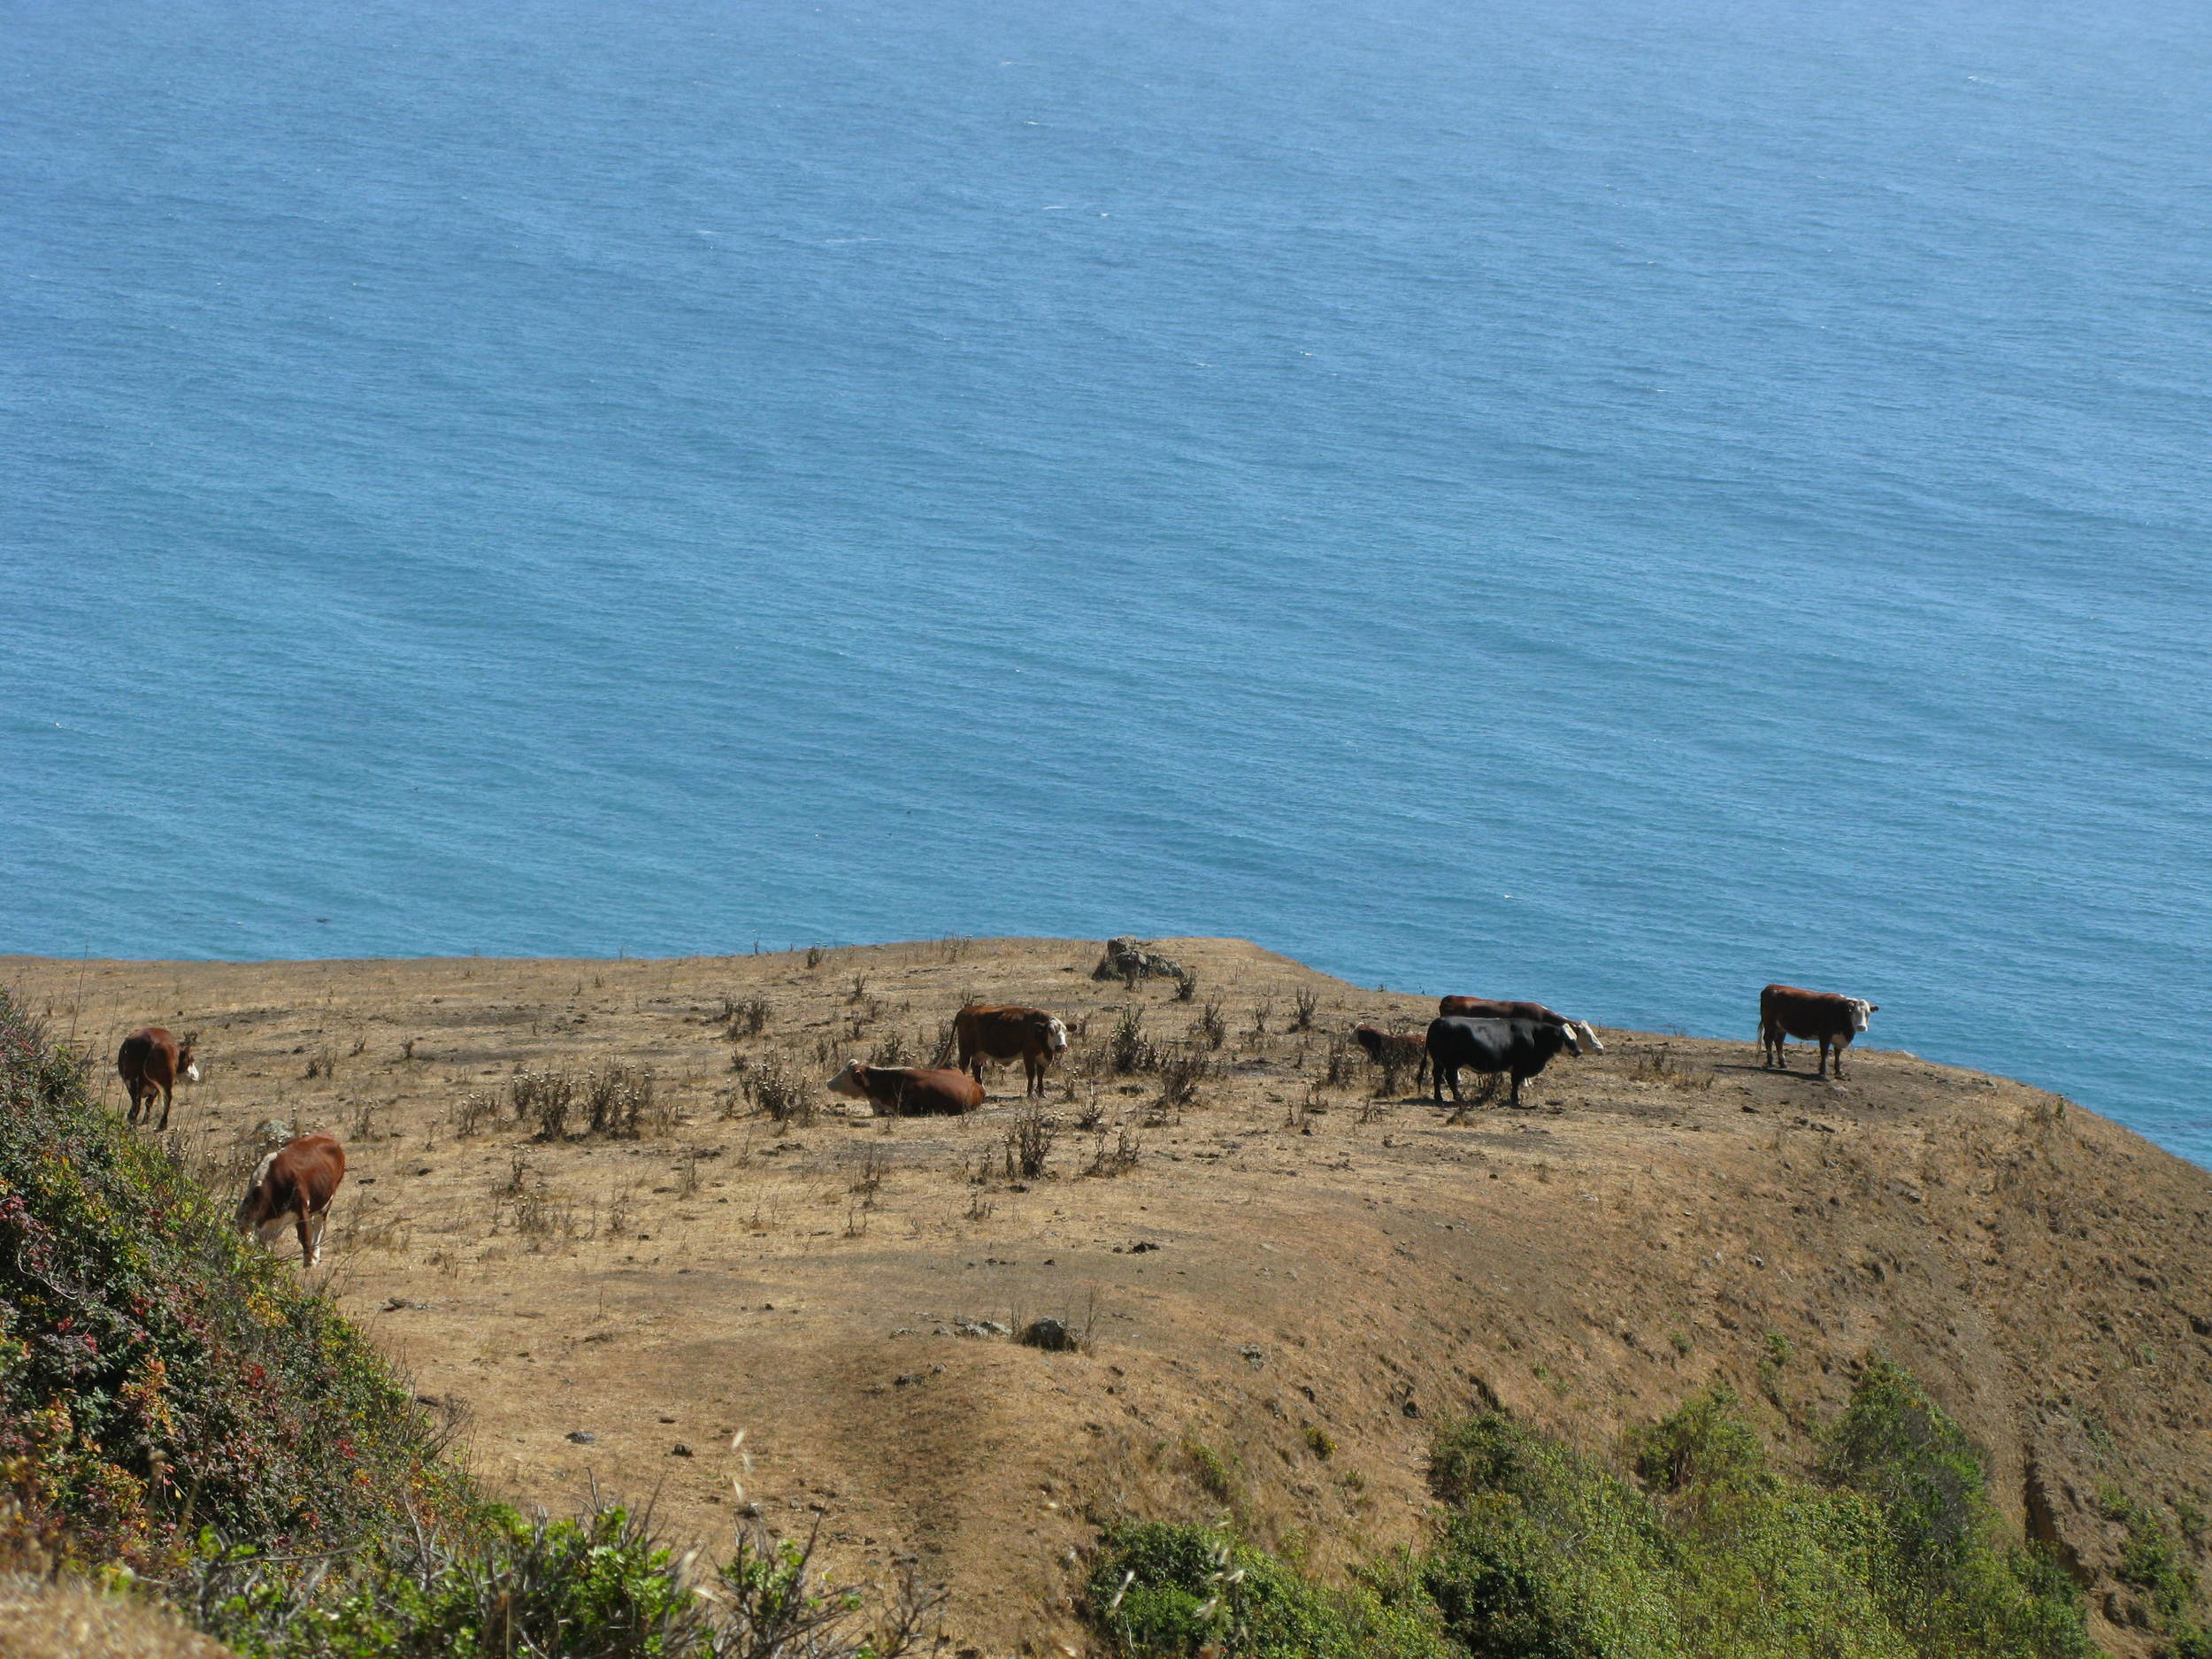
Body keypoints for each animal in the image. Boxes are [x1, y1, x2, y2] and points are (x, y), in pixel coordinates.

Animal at [235, 1141, 347, 1274]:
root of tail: (330, 1140)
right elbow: (266, 1243)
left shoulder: (302, 1208)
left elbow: (304, 1236)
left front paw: (309, 1264)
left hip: (326, 1201)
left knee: (318, 1228)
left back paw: (315, 1256)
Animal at [951, 1009, 1071, 1097]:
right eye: (1050, 1031)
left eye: (1064, 1031)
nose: (1062, 1047)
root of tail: (965, 1010)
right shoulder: (1028, 1054)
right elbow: (1031, 1073)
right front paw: (1030, 1093)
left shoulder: (1040, 1056)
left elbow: (1041, 1074)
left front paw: (1042, 1093)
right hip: (965, 1052)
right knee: (963, 1066)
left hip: (979, 1053)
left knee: (977, 1069)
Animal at [1425, 1022, 1584, 1110]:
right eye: (1566, 1038)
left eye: (1575, 1037)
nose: (1579, 1051)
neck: (1535, 1035)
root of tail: (1439, 1021)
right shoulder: (1519, 1067)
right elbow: (1515, 1083)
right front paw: (1515, 1100)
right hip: (1451, 1064)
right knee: (1450, 1078)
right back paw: (1459, 1098)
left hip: (1439, 1062)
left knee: (1437, 1076)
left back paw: (1439, 1097)